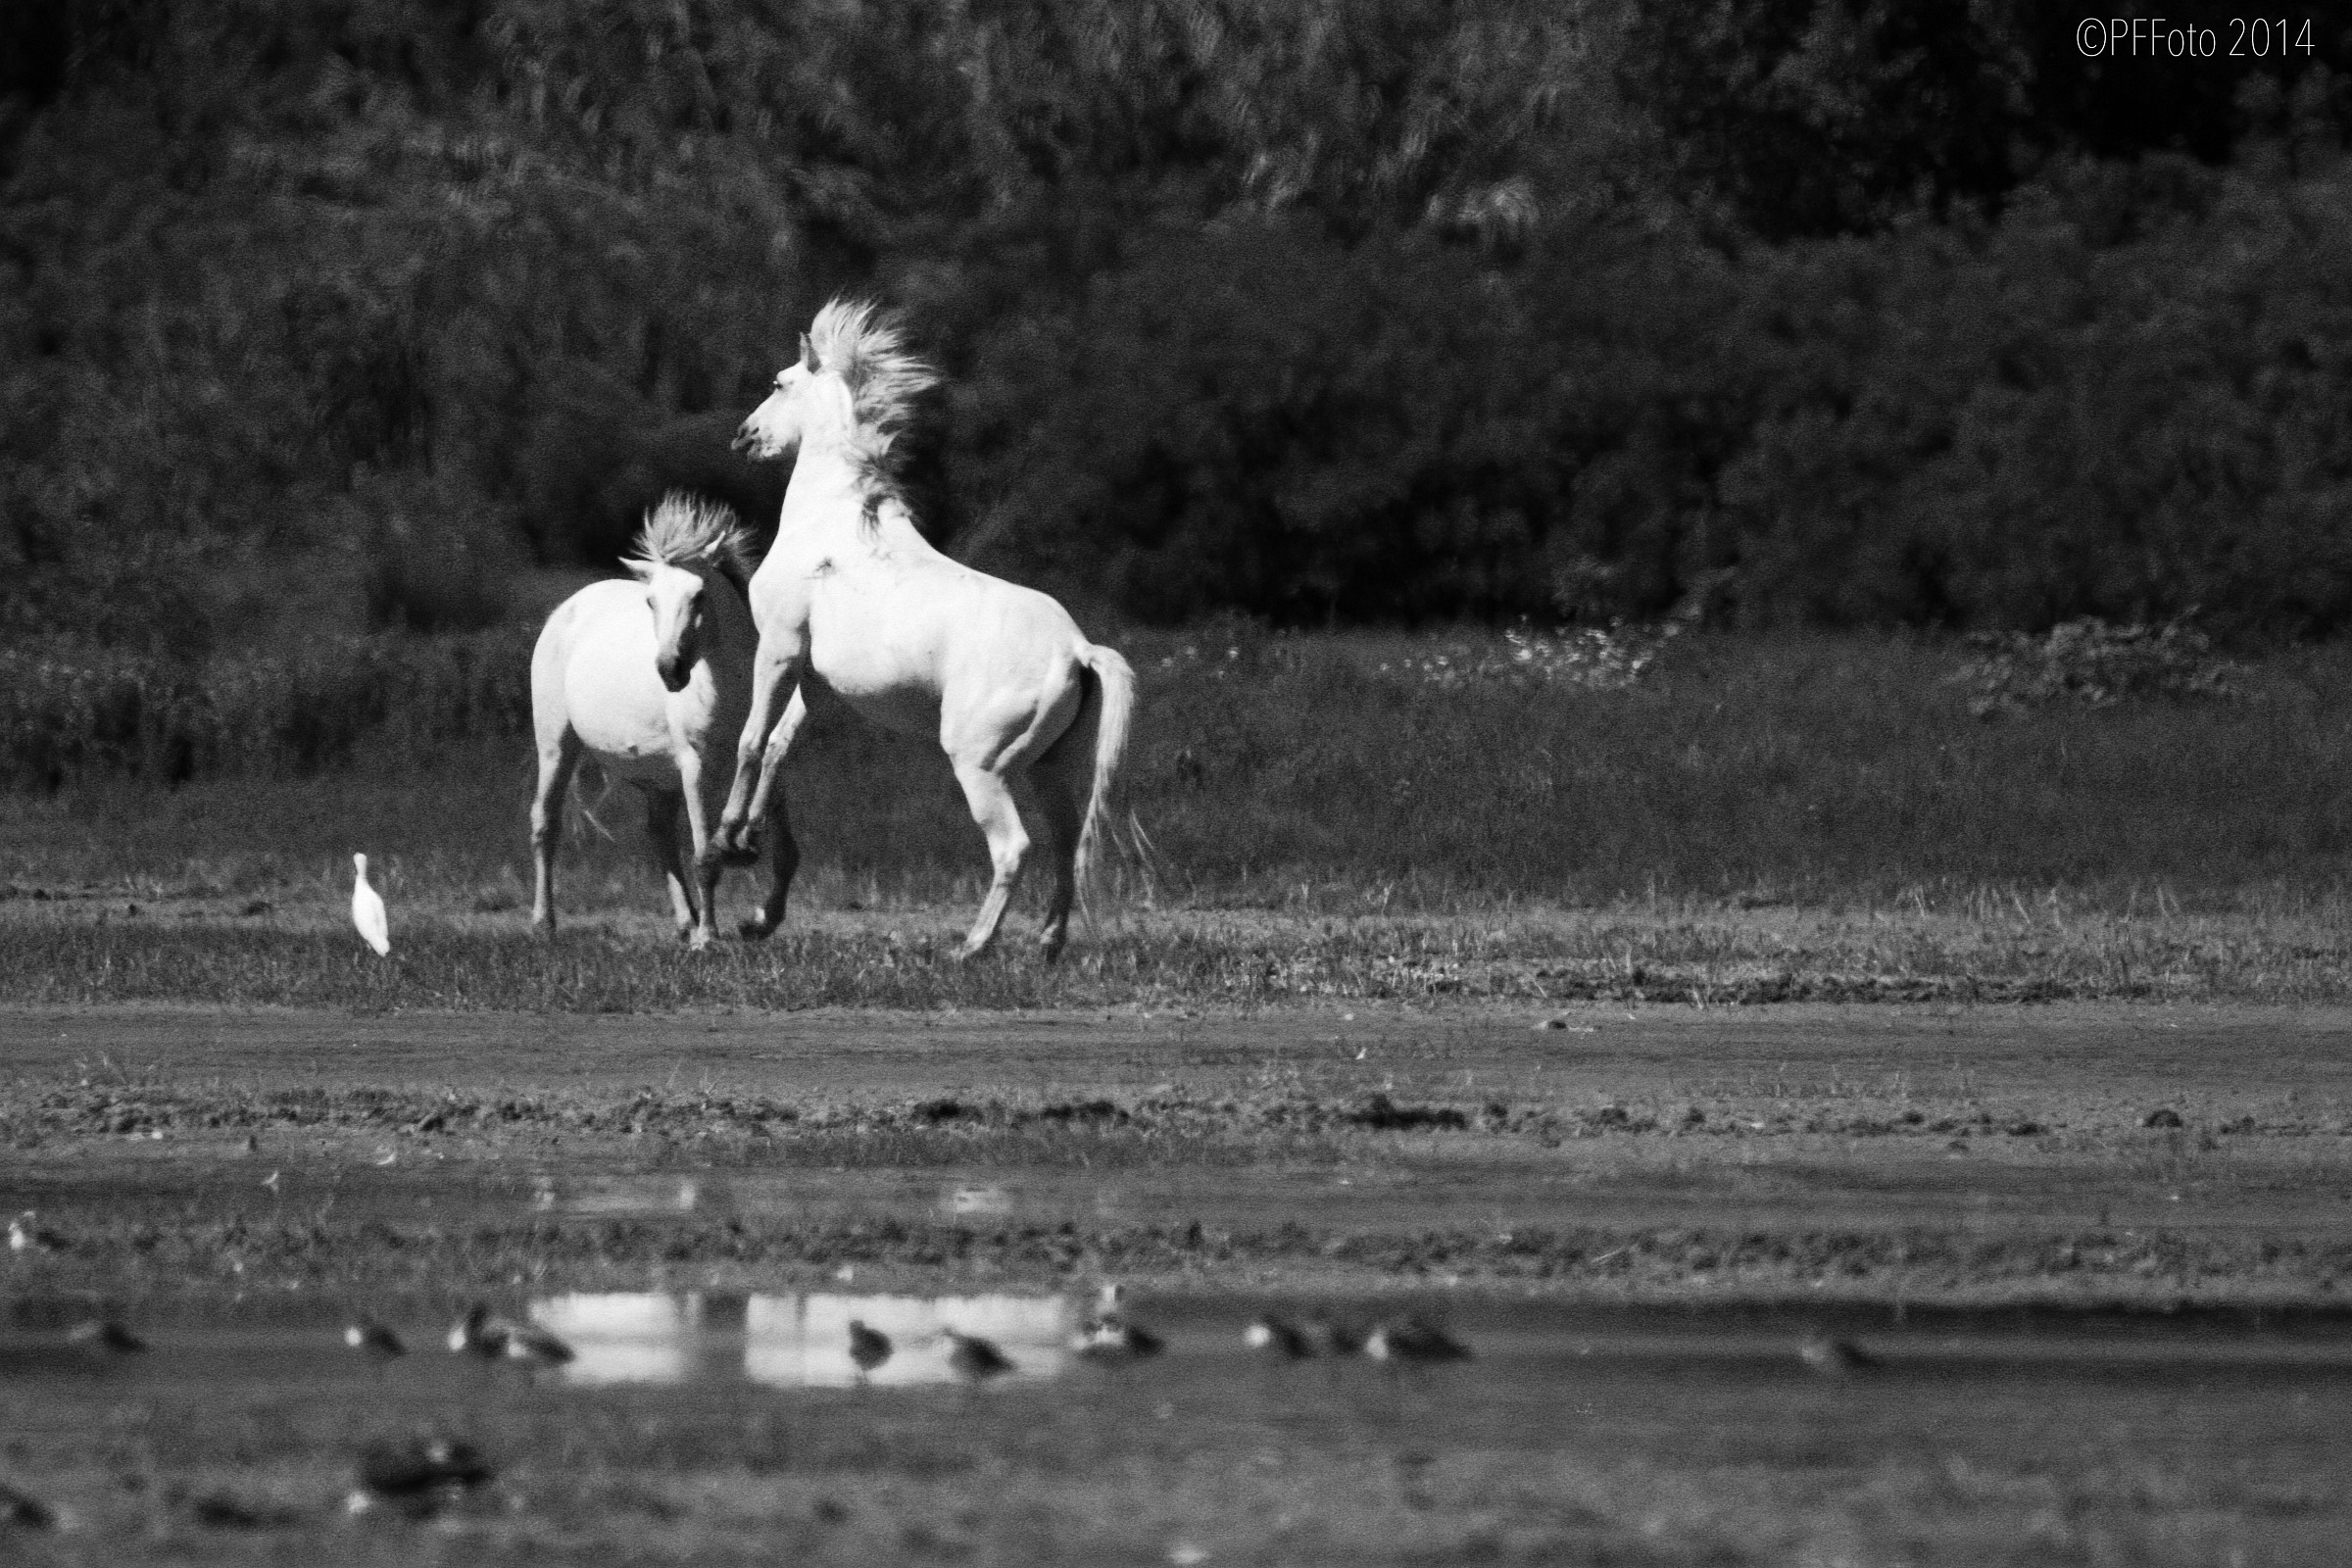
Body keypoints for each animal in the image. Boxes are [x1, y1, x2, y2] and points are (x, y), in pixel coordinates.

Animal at [719, 292, 1133, 958]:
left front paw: (729, 836)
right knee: (1066, 845)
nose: (744, 436)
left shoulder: (778, 648)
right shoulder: (817, 683)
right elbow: (781, 746)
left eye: (780, 383)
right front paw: (752, 857)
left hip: (978, 764)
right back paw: (1046, 944)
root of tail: (1077, 648)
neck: (831, 521)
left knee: (1014, 848)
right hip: (1046, 766)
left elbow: (753, 739)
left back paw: (972, 947)